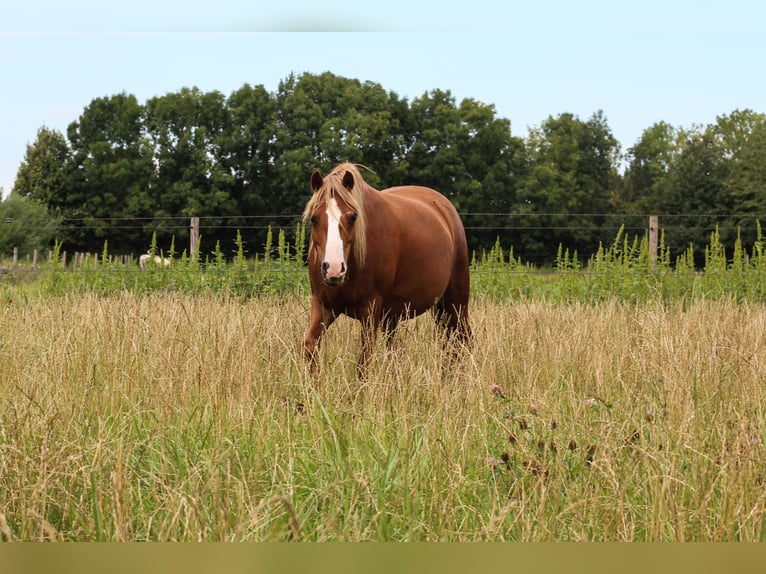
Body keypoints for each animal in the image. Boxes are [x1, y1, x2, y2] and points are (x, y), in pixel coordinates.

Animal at [304, 163, 472, 378]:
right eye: (314, 219)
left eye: (352, 217)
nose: (334, 269)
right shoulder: (323, 304)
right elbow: (310, 345)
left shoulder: (370, 308)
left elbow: (364, 362)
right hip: (395, 315)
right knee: (398, 352)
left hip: (456, 303)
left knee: (461, 340)